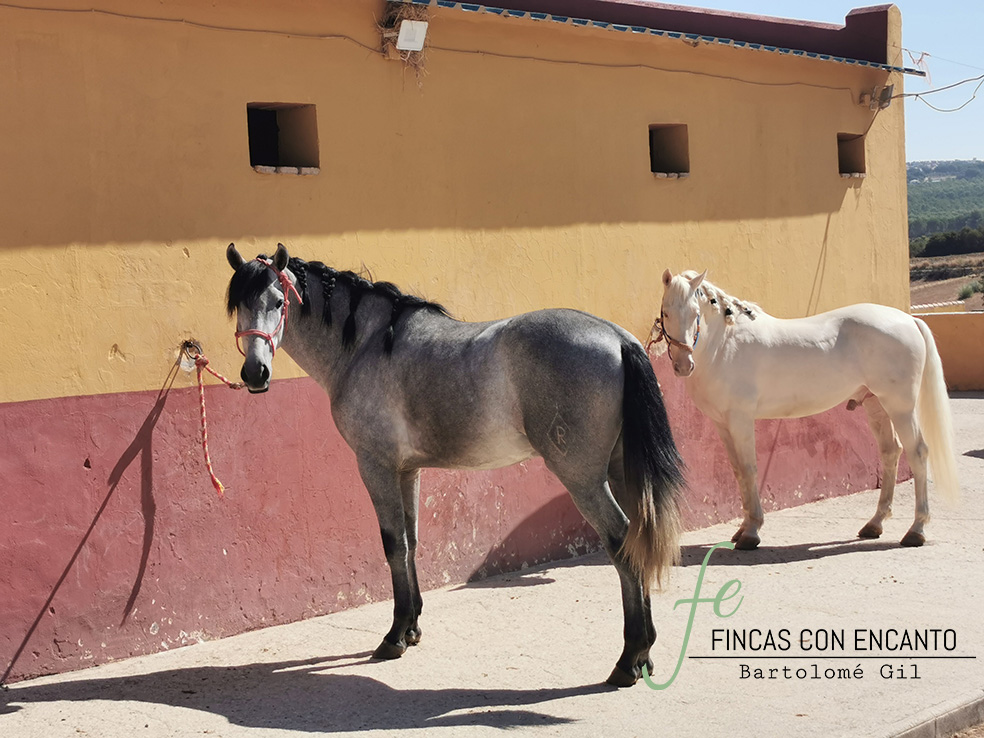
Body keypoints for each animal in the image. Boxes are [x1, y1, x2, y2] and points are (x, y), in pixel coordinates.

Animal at [225, 243, 686, 687]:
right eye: (238, 305)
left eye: (278, 300)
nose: (255, 373)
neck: (366, 346)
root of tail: (617, 337)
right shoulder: (407, 471)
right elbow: (410, 542)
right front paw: (411, 627)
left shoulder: (375, 466)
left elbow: (393, 544)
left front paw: (394, 636)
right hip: (619, 472)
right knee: (638, 540)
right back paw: (643, 658)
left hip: (583, 479)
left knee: (622, 542)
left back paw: (629, 659)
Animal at [651, 269, 958, 551]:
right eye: (665, 313)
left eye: (695, 313)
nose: (683, 365)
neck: (725, 344)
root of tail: (908, 319)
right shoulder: (722, 423)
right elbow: (738, 471)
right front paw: (742, 529)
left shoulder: (740, 419)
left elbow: (749, 469)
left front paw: (751, 532)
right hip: (875, 404)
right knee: (890, 452)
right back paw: (875, 524)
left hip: (900, 406)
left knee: (918, 452)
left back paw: (916, 530)